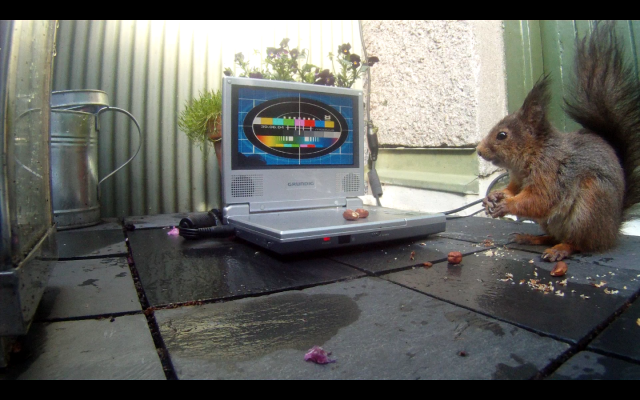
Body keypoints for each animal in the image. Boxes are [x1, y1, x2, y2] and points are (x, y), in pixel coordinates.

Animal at [476, 21, 640, 262]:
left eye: (502, 135)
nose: (479, 150)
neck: (533, 155)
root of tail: (611, 231)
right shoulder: (518, 179)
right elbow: (514, 190)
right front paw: (495, 196)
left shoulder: (552, 173)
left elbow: (539, 200)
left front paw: (507, 204)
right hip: (552, 222)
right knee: (553, 236)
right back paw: (532, 238)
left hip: (588, 209)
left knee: (579, 243)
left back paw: (560, 249)